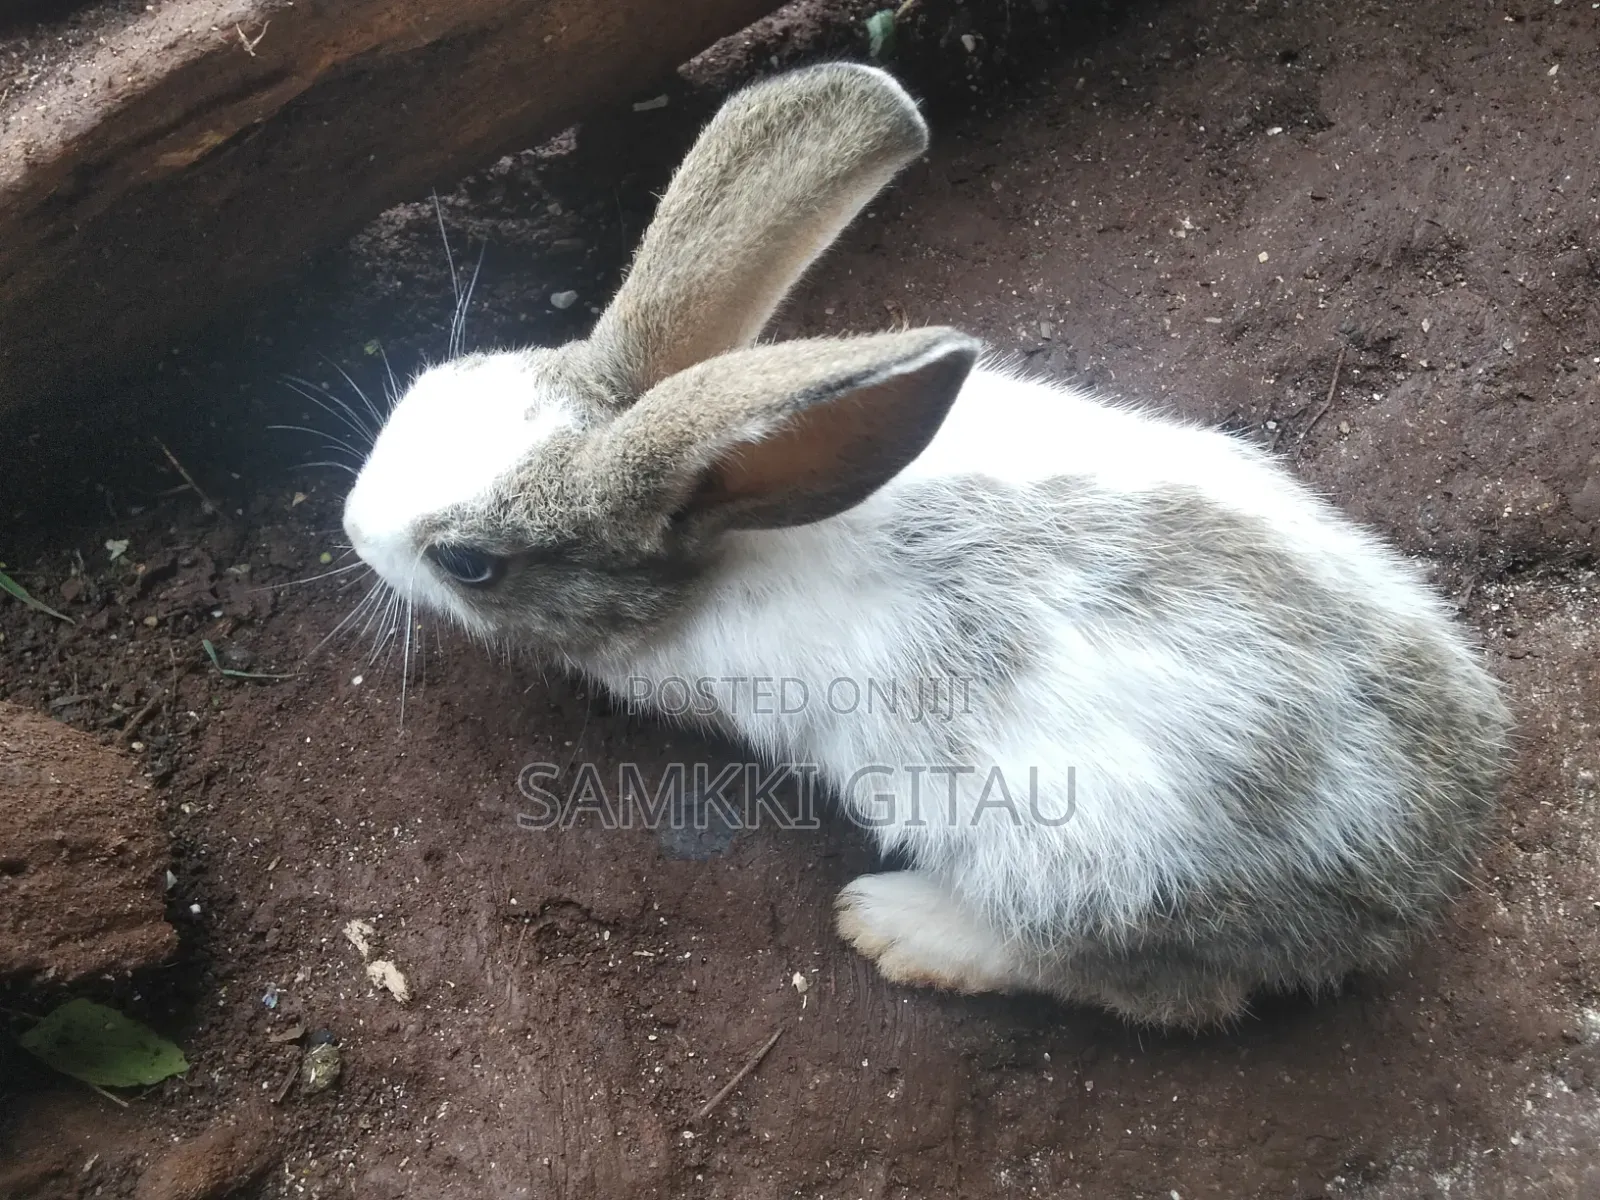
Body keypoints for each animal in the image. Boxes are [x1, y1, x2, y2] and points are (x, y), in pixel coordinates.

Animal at [341, 62, 1513, 1029]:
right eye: (445, 378)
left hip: (1083, 868)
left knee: (1153, 986)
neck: (729, 540)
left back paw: (899, 925)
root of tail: (1414, 870)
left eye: (468, 563)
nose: (352, 525)